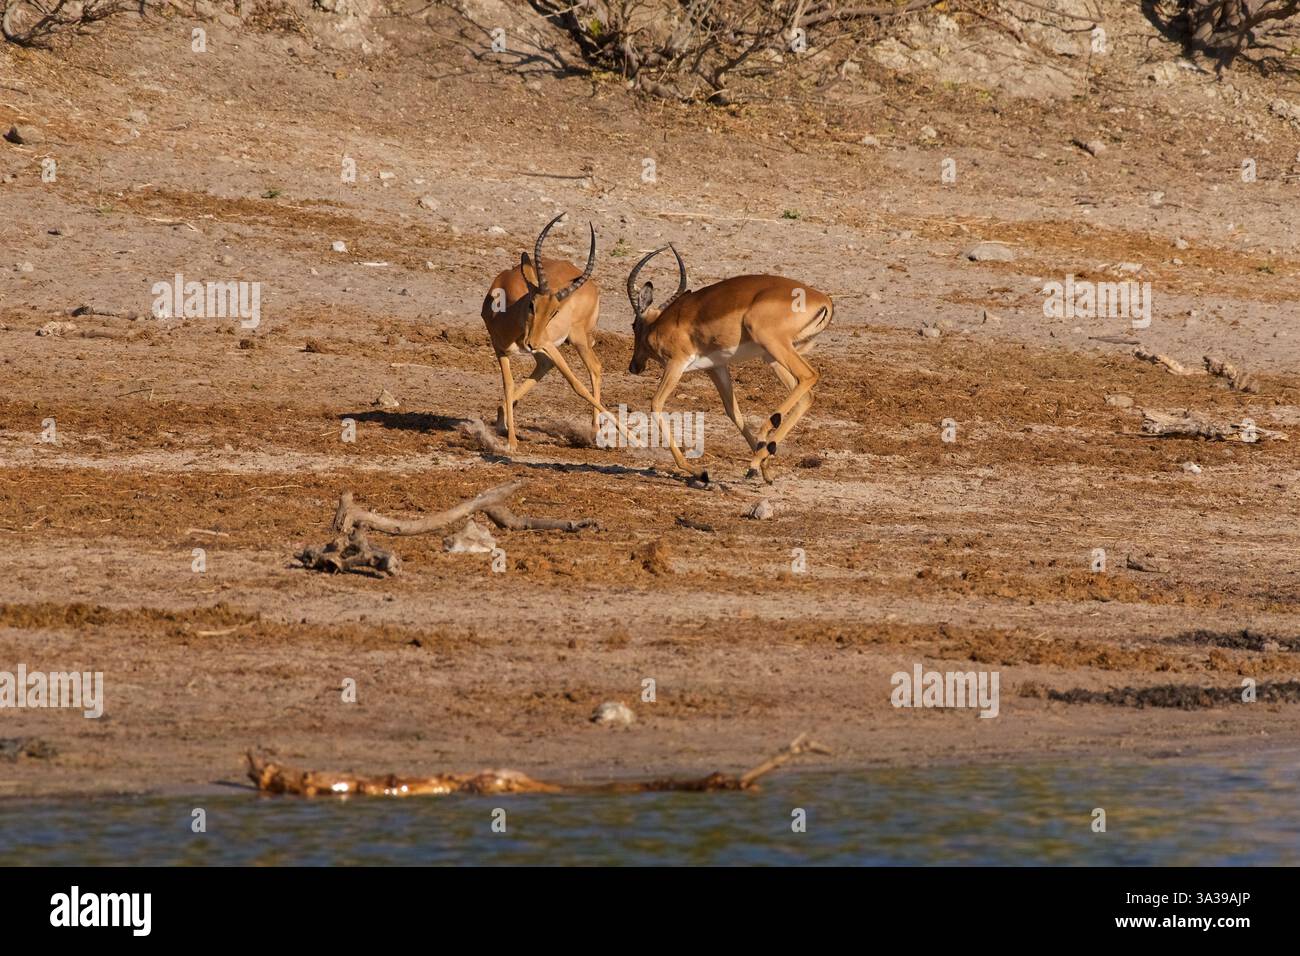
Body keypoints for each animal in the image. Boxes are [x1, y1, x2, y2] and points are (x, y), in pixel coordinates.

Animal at [481, 213, 614, 451]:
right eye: (531, 304)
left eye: (554, 312)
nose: (530, 342)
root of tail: (592, 286)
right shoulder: (500, 349)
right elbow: (509, 384)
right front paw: (511, 439)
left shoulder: (548, 344)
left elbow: (576, 384)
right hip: (549, 348)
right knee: (546, 366)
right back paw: (502, 420)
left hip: (576, 340)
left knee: (595, 368)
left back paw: (596, 433)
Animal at [626, 245, 832, 484]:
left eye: (633, 325)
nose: (634, 367)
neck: (661, 325)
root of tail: (824, 300)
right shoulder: (716, 368)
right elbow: (733, 411)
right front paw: (765, 470)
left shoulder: (676, 364)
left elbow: (656, 404)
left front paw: (698, 471)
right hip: (772, 356)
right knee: (806, 395)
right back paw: (760, 458)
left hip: (773, 345)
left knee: (809, 376)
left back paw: (761, 444)